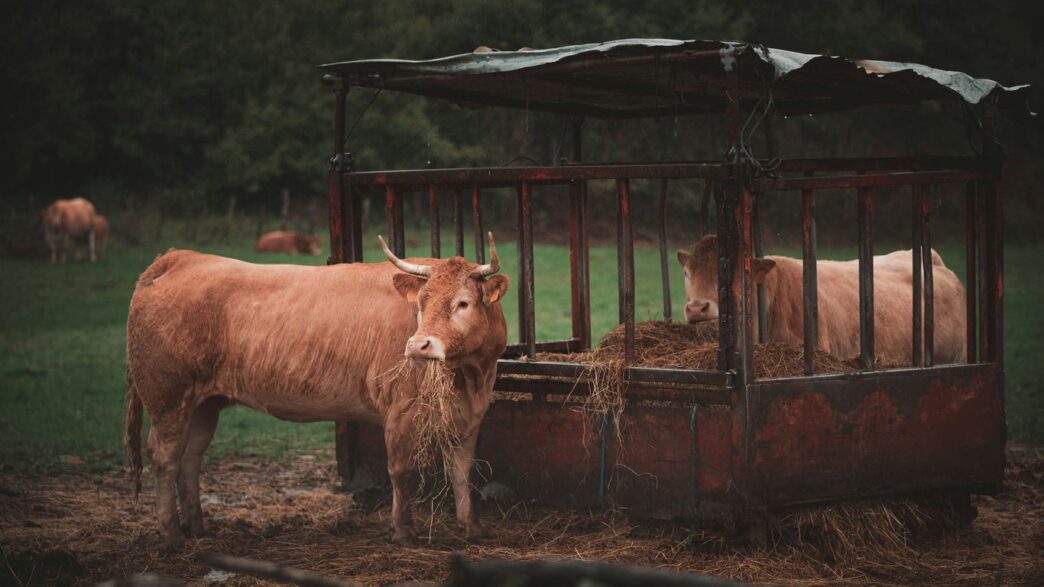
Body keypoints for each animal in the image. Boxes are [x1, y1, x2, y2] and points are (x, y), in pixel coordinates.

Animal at [124, 233, 509, 547]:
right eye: (421, 303)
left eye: (463, 302)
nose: (418, 346)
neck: (470, 375)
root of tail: (179, 257)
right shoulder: (400, 410)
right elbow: (401, 471)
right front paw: (403, 532)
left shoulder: (470, 413)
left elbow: (462, 470)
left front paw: (472, 528)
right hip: (167, 396)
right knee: (165, 455)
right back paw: (171, 534)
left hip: (203, 404)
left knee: (191, 456)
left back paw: (197, 527)